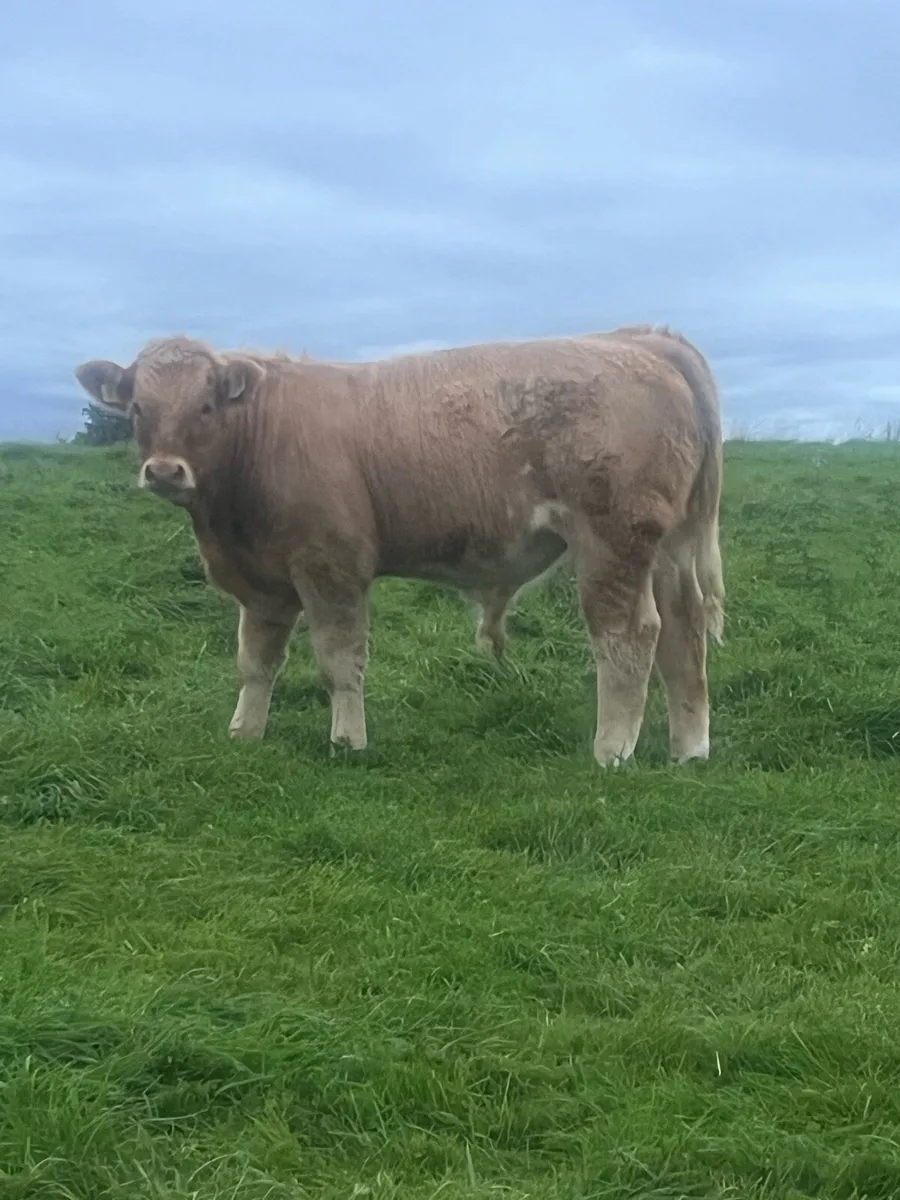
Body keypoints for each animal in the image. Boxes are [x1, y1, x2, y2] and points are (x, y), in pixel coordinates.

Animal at [74, 325, 725, 767]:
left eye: (205, 405)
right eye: (138, 409)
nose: (165, 471)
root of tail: (638, 339)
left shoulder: (331, 567)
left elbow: (339, 660)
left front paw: (347, 741)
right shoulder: (261, 583)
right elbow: (256, 662)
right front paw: (245, 733)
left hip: (612, 542)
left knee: (629, 635)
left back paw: (612, 749)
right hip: (666, 549)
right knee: (684, 630)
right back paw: (689, 747)